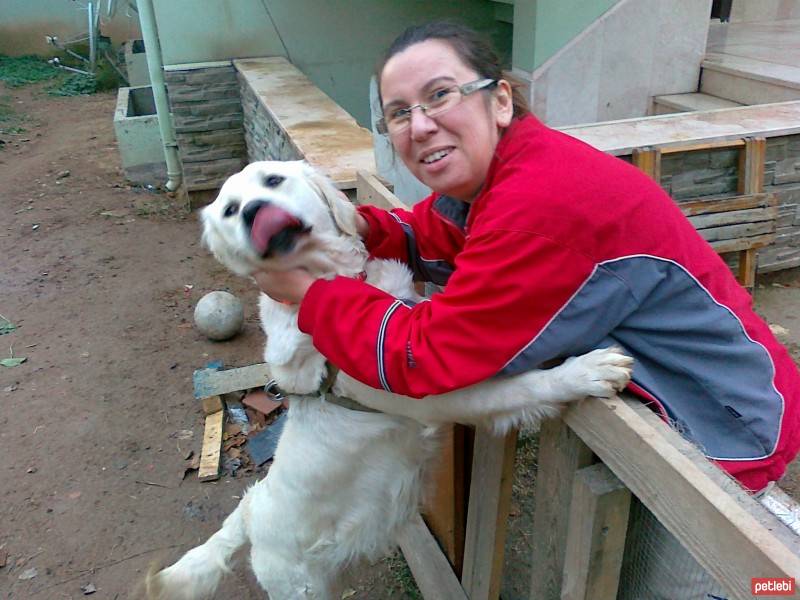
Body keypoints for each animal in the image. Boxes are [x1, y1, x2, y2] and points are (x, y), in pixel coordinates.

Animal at [145, 162, 632, 596]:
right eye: (230, 209)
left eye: (273, 181)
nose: (252, 211)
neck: (335, 279)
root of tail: (248, 513)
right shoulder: (434, 392)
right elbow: (521, 386)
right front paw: (588, 371)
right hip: (300, 586)